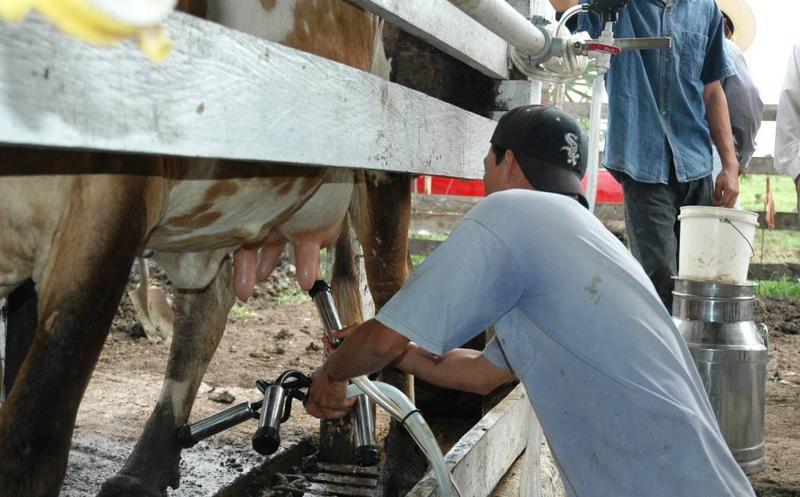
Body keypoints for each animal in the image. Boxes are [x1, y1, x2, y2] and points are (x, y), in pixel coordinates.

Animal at [0, 1, 412, 494]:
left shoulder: (110, 204)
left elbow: (32, 433)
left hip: (386, 162)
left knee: (394, 287)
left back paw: (404, 460)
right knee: (204, 315)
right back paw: (145, 468)